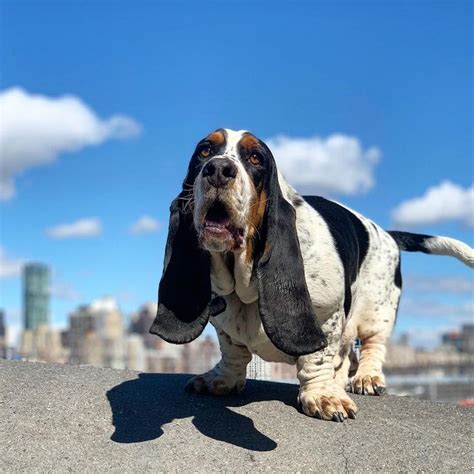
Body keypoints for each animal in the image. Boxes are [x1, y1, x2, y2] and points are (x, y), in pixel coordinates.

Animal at [150, 128, 472, 420]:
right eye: (205, 151)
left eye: (255, 157)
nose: (218, 169)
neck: (245, 280)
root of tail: (386, 233)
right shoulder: (224, 324)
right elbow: (233, 351)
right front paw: (222, 379)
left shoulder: (327, 318)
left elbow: (317, 358)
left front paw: (323, 396)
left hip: (378, 314)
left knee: (372, 348)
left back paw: (366, 378)